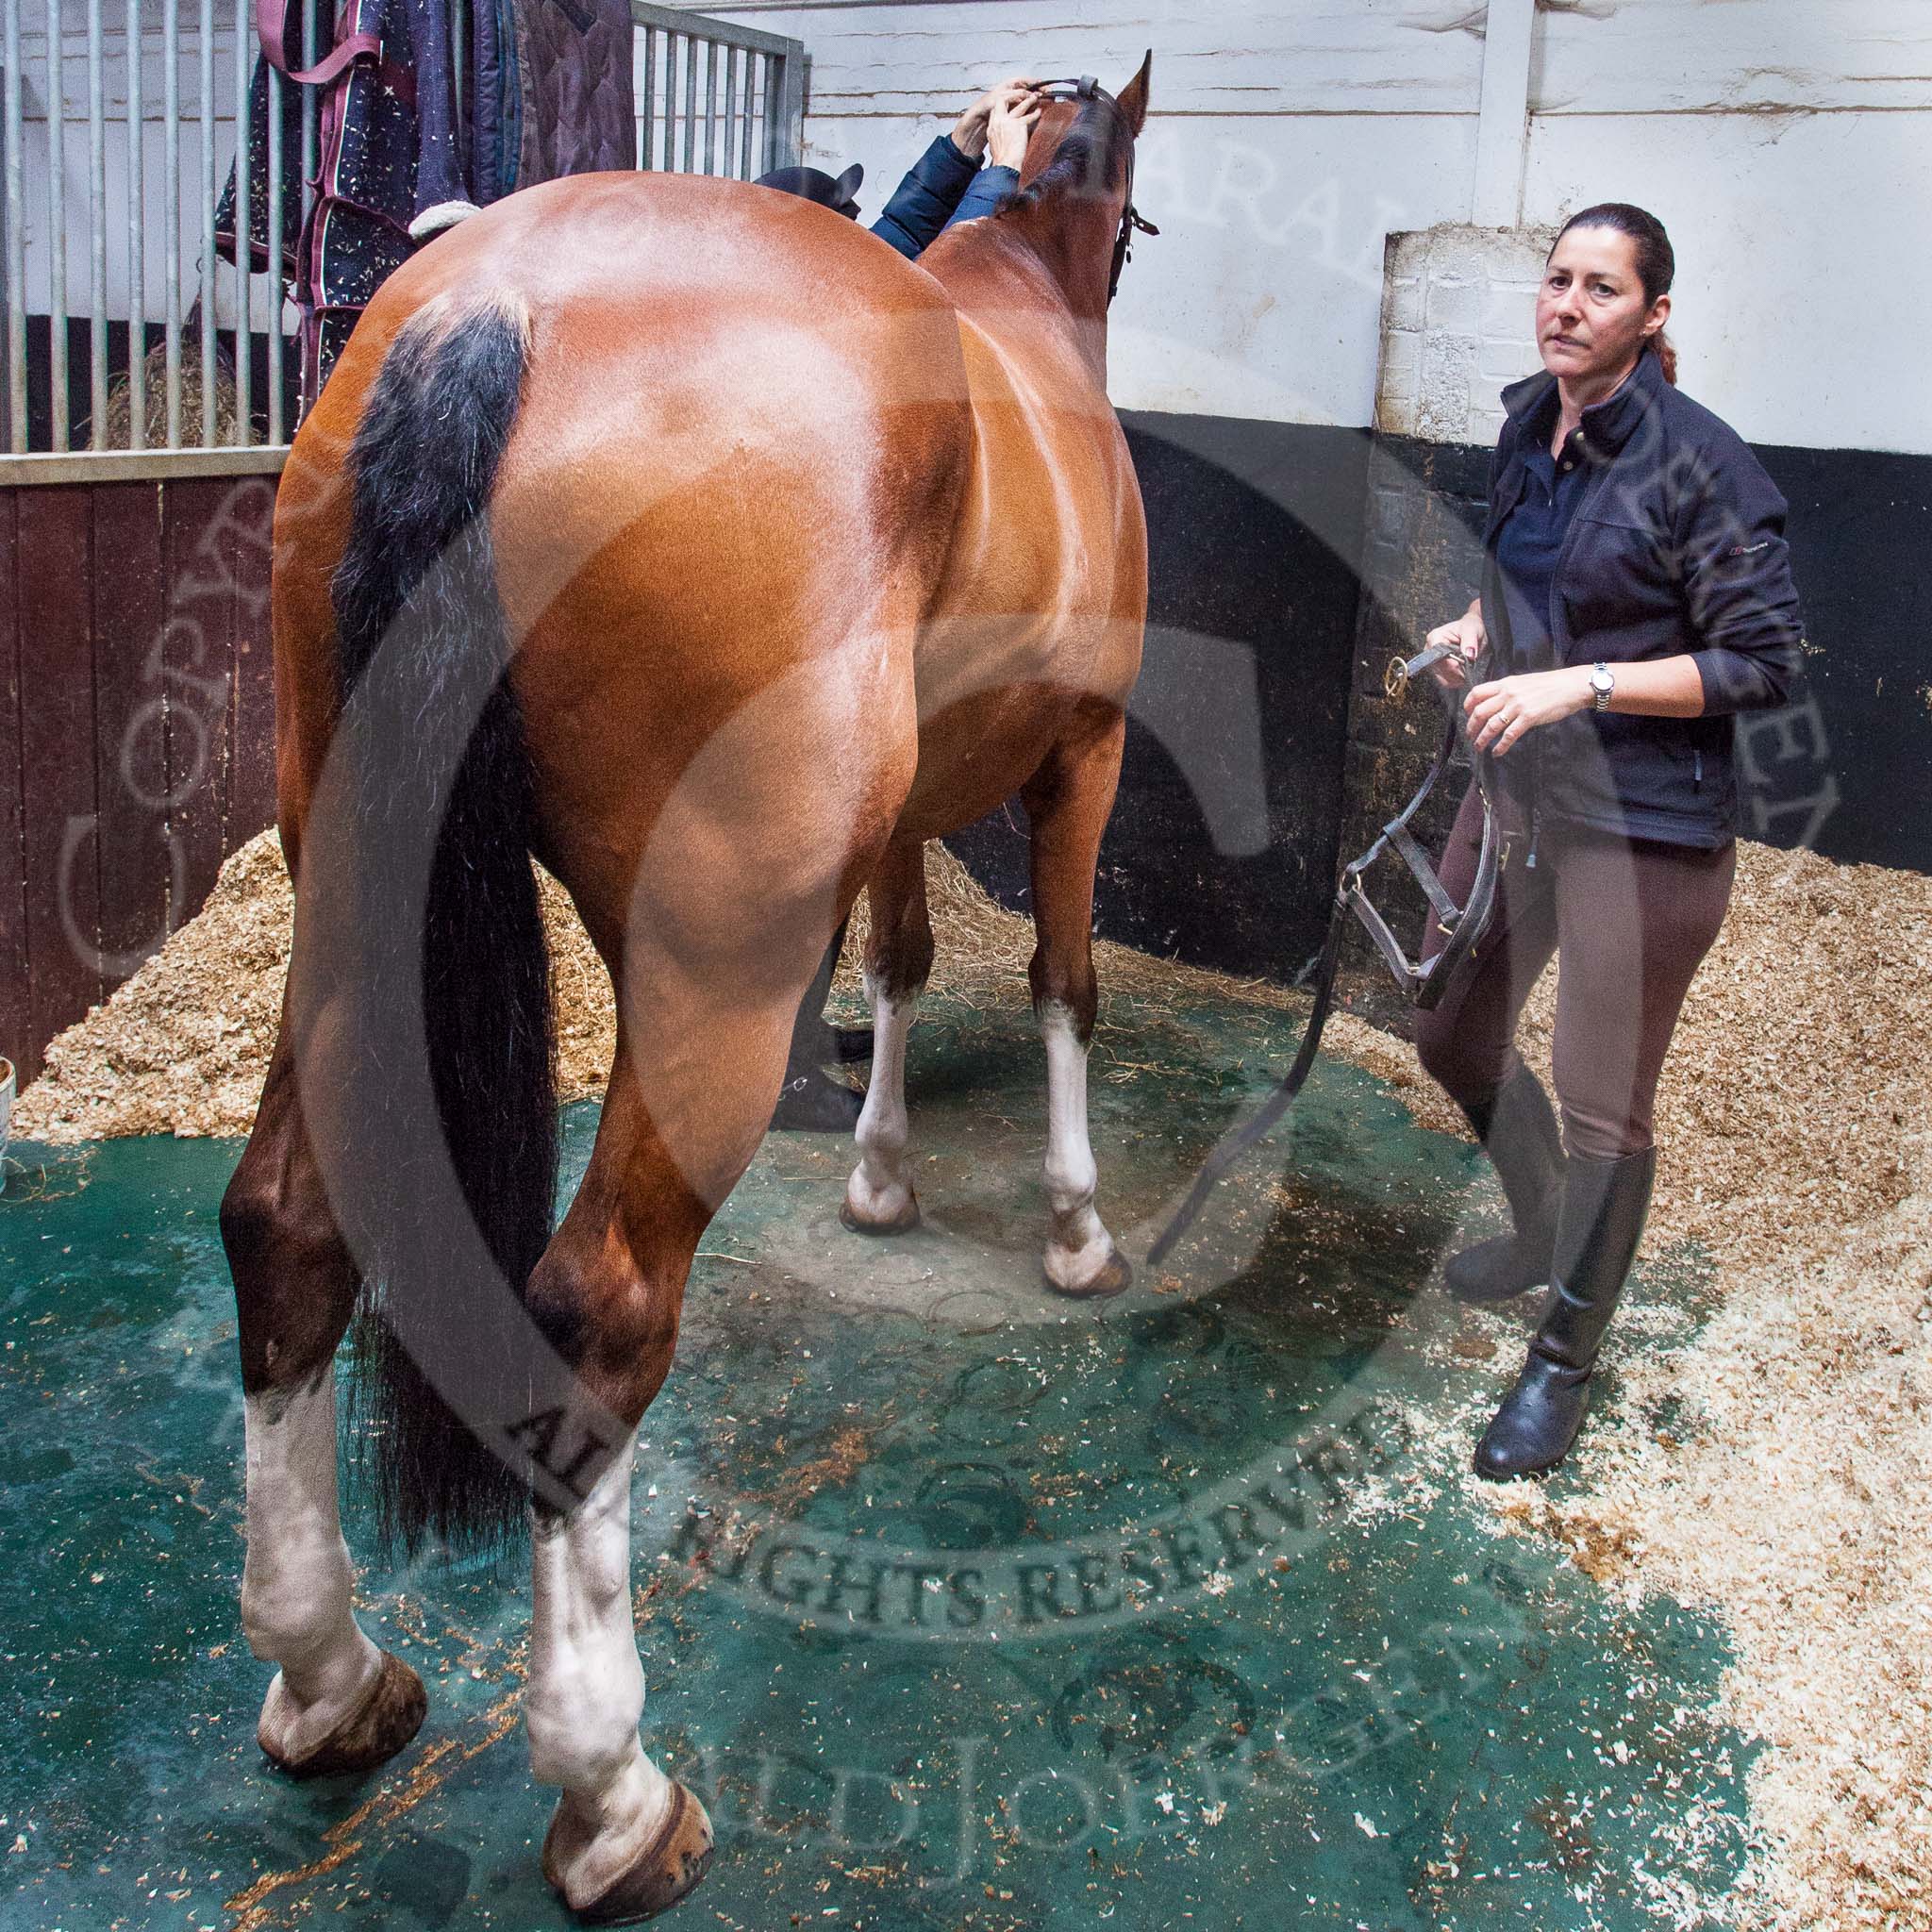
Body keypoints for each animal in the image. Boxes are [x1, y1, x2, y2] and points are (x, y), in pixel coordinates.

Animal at [222, 56, 1158, 1916]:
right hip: (707, 976)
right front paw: (1074, 1227)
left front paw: (881, 1178)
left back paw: (330, 1678)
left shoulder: (917, 807)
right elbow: (1061, 983)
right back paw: (614, 1798)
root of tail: (495, 306)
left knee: (287, 1222)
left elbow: (906, 960)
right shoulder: (1076, 762)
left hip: (347, 910)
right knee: (596, 1312)